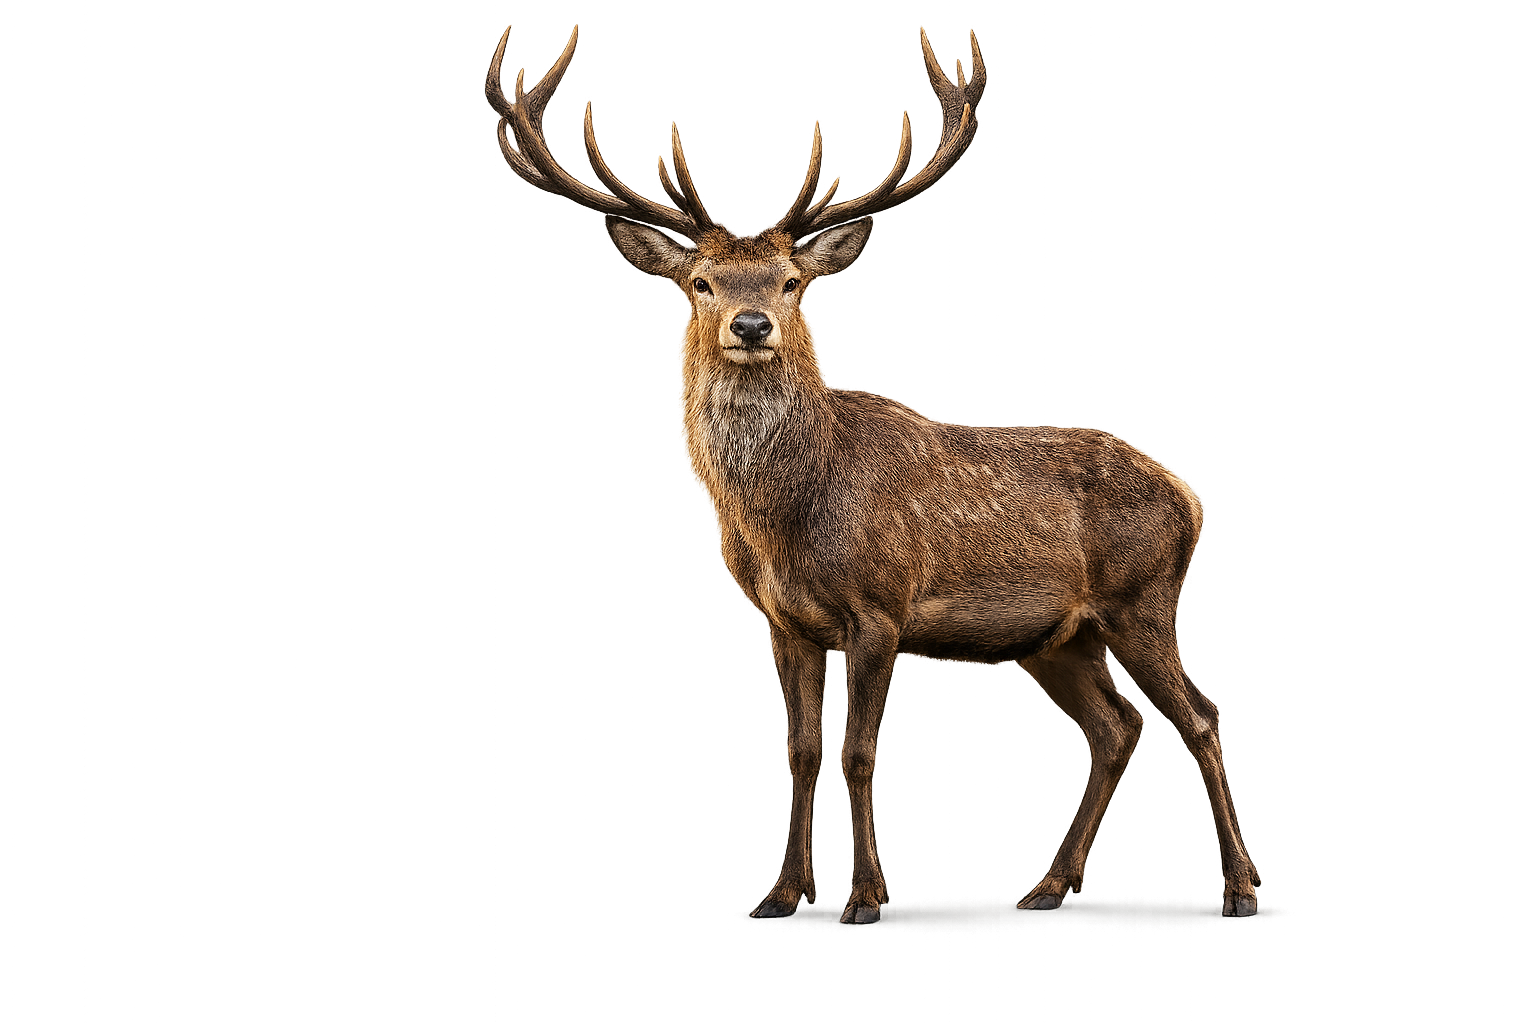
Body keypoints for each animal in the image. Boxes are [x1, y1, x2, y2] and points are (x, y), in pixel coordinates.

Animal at [486, 25, 1261, 922]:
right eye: (701, 281)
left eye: (792, 281)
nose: (751, 324)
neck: (787, 521)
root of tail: (1189, 497)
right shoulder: (783, 623)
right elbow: (801, 751)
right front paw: (783, 892)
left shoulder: (881, 609)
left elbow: (859, 752)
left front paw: (866, 894)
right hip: (1062, 639)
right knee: (1117, 730)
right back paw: (1050, 884)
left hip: (1143, 600)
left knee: (1199, 720)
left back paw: (1239, 886)